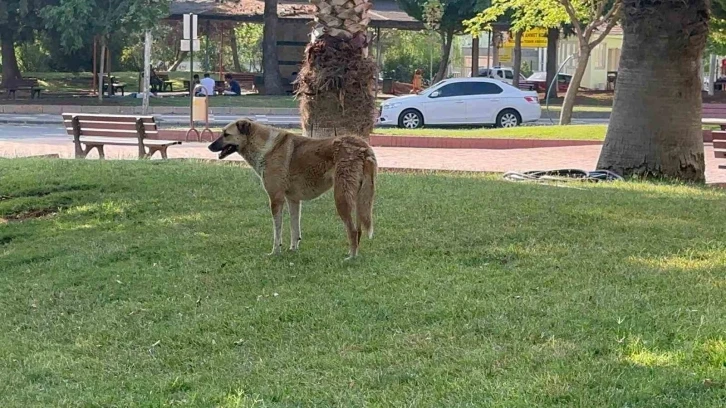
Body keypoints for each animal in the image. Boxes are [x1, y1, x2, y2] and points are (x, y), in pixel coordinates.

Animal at [208, 118, 378, 258]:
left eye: (226, 134)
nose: (209, 146)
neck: (265, 146)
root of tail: (364, 148)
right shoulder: (293, 200)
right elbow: (295, 228)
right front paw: (293, 250)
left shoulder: (276, 199)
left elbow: (277, 231)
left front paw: (275, 252)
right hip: (359, 198)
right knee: (359, 230)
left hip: (341, 197)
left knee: (353, 231)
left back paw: (351, 257)